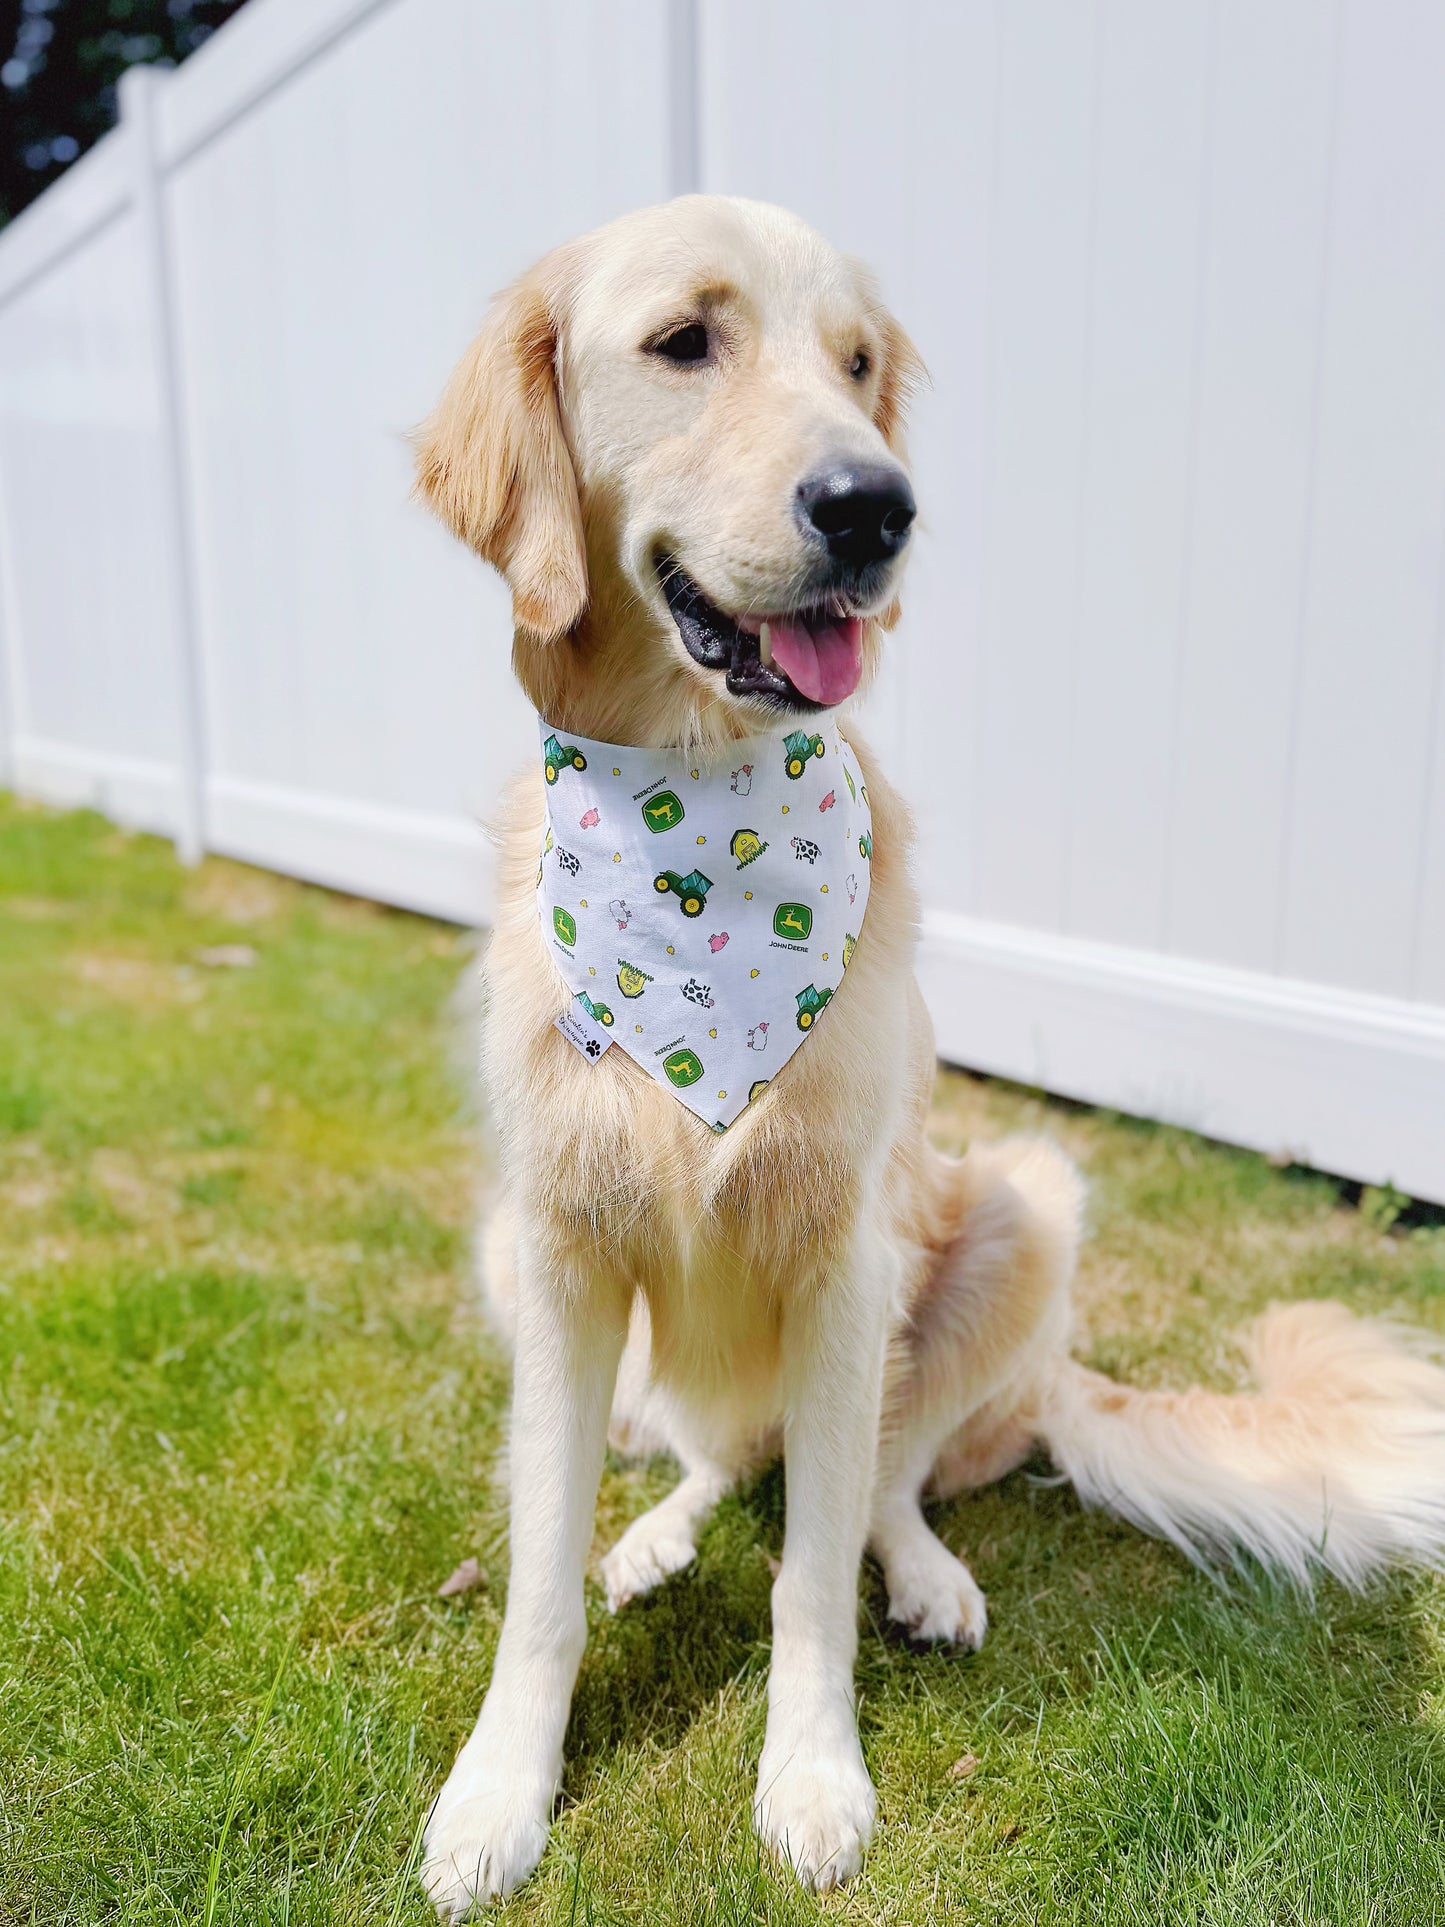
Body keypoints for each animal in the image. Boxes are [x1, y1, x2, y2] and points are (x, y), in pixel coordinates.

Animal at [410, 195, 1445, 1911]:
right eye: (684, 341)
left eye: (855, 366)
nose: (876, 507)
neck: (694, 815)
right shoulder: (560, 1248)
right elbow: (540, 1571)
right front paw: (501, 1787)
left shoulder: (846, 1263)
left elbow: (815, 1569)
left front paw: (812, 1775)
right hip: (515, 1248)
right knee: (709, 1456)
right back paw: (658, 1533)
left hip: (1021, 1205)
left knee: (885, 1477)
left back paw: (932, 1572)